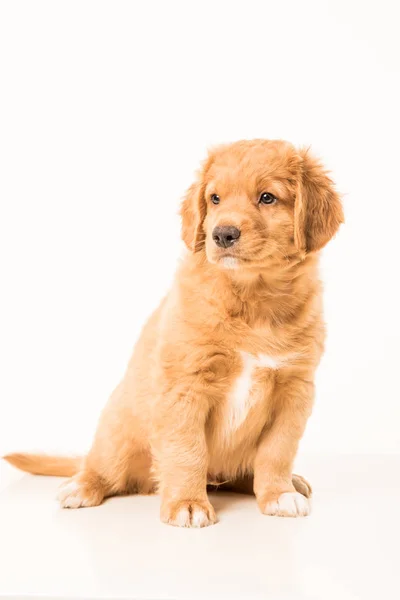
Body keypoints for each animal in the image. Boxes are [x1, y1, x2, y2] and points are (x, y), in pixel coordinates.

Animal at [3, 139, 344, 524]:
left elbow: (277, 450)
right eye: (214, 198)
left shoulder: (294, 390)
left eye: (267, 197)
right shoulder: (184, 385)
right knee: (100, 467)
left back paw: (289, 483)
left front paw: (278, 494)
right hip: (116, 433)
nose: (222, 234)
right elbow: (187, 450)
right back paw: (80, 486)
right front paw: (187, 504)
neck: (251, 298)